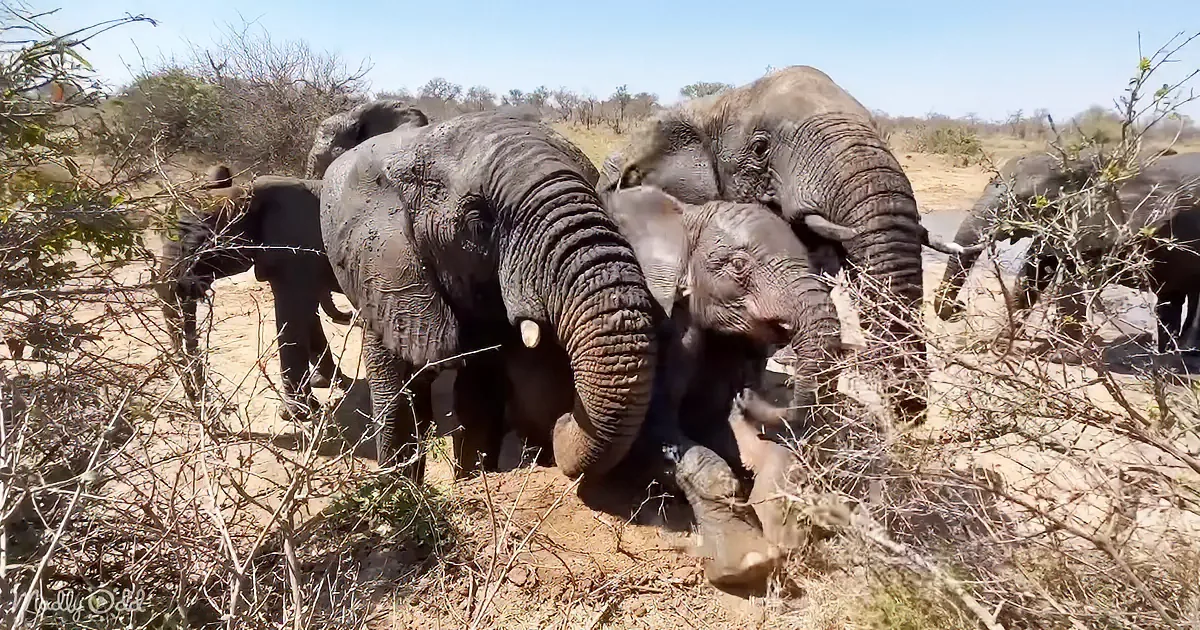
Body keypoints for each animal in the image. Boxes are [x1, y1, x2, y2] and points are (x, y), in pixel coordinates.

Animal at [155, 166, 353, 419]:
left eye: (199, 244)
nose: (215, 413)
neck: (244, 192)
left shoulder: (294, 250)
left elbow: (292, 317)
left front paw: (296, 413)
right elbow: (306, 317)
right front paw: (331, 384)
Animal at [933, 150, 1200, 356]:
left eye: (1026, 201)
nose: (958, 308)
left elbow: (1074, 281)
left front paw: (1061, 355)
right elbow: (1034, 273)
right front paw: (1000, 343)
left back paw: (1183, 355)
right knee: (1175, 297)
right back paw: (1168, 353)